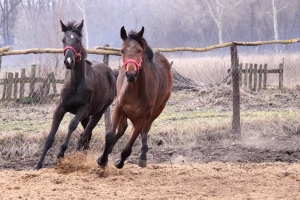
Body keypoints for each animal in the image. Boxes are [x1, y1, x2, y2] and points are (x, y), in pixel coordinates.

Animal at [34, 20, 116, 170]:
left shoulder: (82, 109)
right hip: (87, 116)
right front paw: (38, 165)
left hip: (98, 112)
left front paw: (60, 155)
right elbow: (50, 137)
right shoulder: (60, 108)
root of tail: (111, 72)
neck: (77, 82)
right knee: (87, 135)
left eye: (78, 40)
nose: (68, 61)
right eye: (63, 40)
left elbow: (72, 125)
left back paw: (78, 157)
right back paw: (81, 157)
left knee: (85, 134)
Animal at [98, 25, 173, 168]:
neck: (136, 91)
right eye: (122, 51)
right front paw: (102, 160)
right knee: (122, 129)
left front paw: (119, 162)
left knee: (145, 130)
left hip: (157, 110)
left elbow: (129, 146)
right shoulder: (119, 108)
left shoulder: (142, 117)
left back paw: (143, 157)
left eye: (139, 50)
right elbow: (110, 135)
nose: (131, 74)